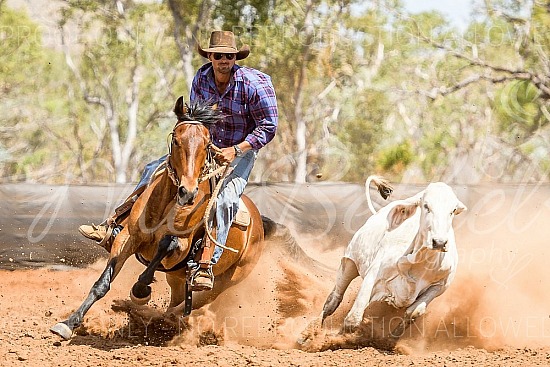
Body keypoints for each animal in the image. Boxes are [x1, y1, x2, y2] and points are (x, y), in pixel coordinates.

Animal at [50, 97, 266, 342]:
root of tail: (259, 222)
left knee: (189, 305)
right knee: (177, 302)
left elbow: (165, 246)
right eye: (176, 139)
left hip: (226, 280)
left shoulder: (180, 249)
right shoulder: (128, 237)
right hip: (177, 278)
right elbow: (102, 283)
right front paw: (68, 324)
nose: (188, 192)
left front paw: (140, 292)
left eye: (207, 144)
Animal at [322, 177, 468, 338]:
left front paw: (391, 339)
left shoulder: (440, 286)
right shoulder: (373, 275)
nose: (440, 242)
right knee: (334, 299)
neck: (420, 262)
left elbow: (414, 312)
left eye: (452, 210)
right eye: (426, 206)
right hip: (349, 263)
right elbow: (353, 318)